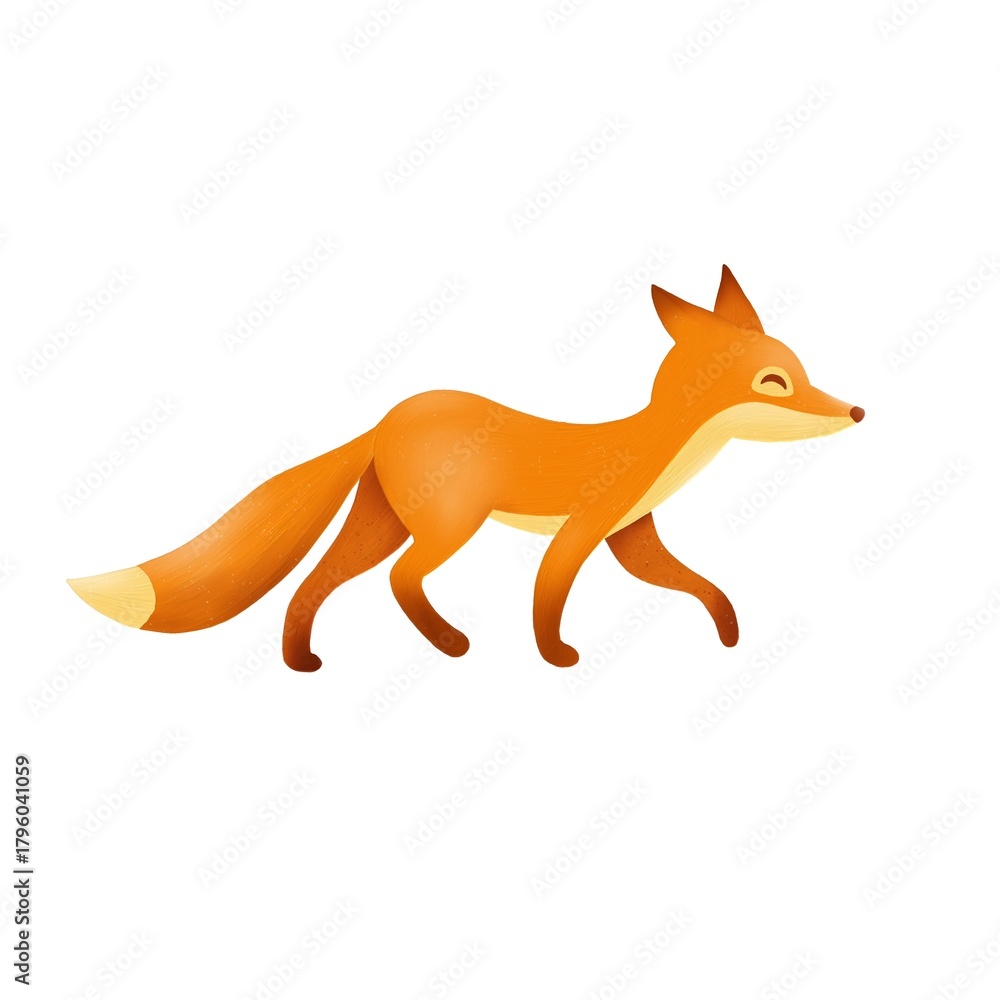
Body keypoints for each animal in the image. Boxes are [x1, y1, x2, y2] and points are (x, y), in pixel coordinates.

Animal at [68, 266, 864, 670]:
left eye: (801, 372)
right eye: (773, 383)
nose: (855, 412)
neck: (652, 445)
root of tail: (387, 419)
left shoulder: (633, 538)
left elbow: (698, 586)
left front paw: (728, 634)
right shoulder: (581, 531)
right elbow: (550, 594)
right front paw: (557, 655)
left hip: (382, 525)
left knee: (315, 585)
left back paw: (303, 661)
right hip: (450, 526)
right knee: (399, 579)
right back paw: (450, 643)